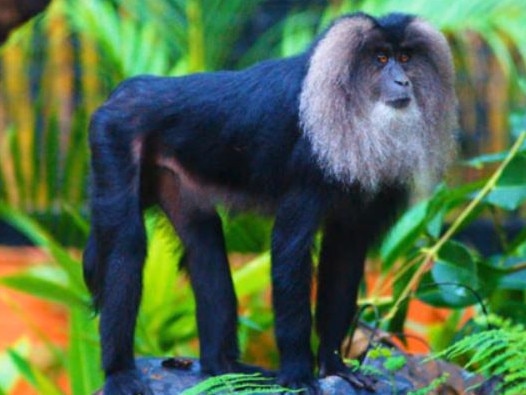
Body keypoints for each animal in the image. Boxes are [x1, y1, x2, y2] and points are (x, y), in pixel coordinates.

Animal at [83, 11, 458, 395]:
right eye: (381, 58)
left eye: (406, 57)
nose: (402, 81)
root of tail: (129, 89)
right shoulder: (308, 166)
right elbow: (290, 249)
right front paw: (298, 374)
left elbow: (343, 257)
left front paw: (334, 365)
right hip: (113, 134)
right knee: (125, 246)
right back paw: (119, 373)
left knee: (205, 246)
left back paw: (223, 365)